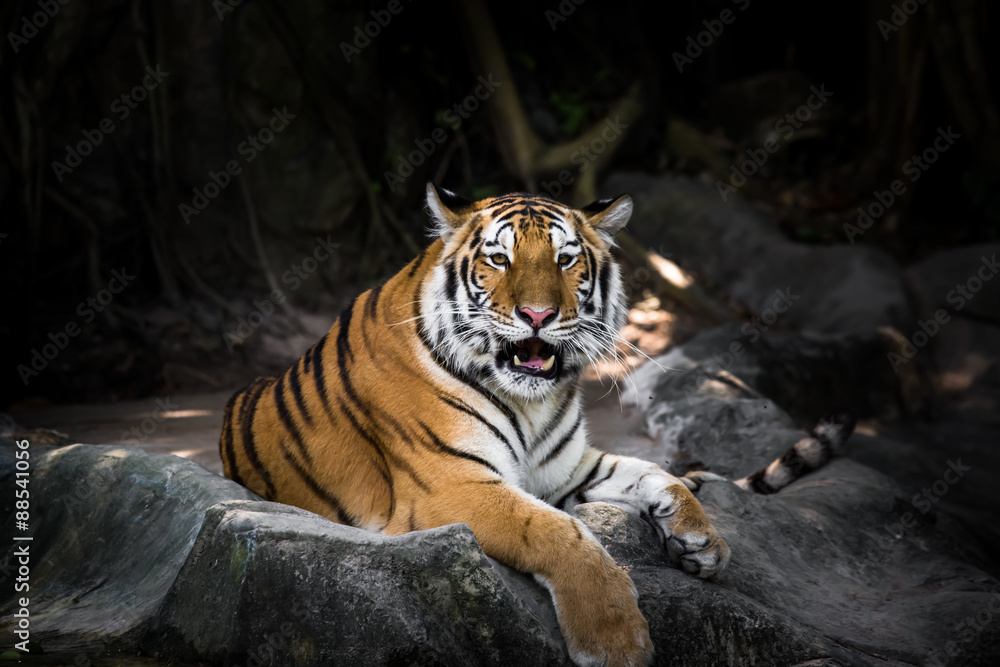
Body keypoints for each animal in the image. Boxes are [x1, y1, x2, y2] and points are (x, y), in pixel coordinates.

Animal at [219, 184, 857, 667]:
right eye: (498, 259)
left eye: (565, 259)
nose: (537, 315)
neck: (531, 402)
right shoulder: (451, 486)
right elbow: (557, 533)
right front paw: (616, 639)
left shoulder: (568, 470)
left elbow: (659, 475)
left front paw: (703, 542)